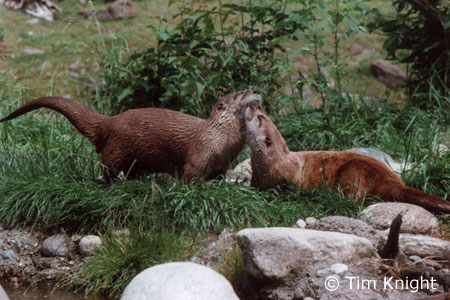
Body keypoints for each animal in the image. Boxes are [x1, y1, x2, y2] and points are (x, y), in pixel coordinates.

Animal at [0, 89, 260, 183]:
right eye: (240, 93)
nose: (256, 90)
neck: (221, 138)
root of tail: (108, 121)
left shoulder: (222, 162)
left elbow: (219, 175)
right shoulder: (199, 154)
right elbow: (190, 175)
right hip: (116, 150)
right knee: (107, 168)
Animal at [244, 106, 450, 214]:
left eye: (260, 117)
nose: (253, 106)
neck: (272, 163)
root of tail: (393, 180)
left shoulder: (287, 179)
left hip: (354, 171)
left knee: (355, 198)